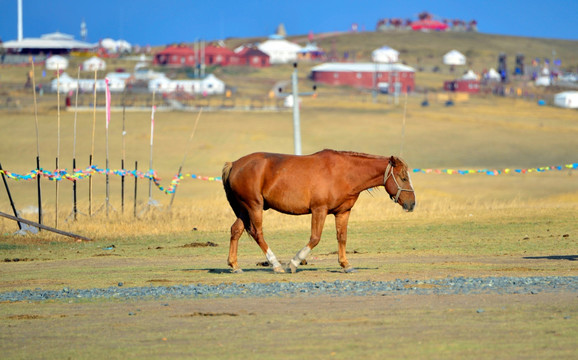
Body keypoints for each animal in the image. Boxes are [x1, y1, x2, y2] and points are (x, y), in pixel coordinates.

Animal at [220, 148, 414, 272]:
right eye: (403, 177)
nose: (412, 204)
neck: (344, 173)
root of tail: (234, 164)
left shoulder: (343, 212)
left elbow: (342, 237)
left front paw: (345, 264)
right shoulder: (319, 210)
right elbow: (315, 238)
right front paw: (294, 263)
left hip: (244, 209)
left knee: (236, 230)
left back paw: (235, 265)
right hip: (254, 206)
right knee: (257, 233)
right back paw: (276, 265)